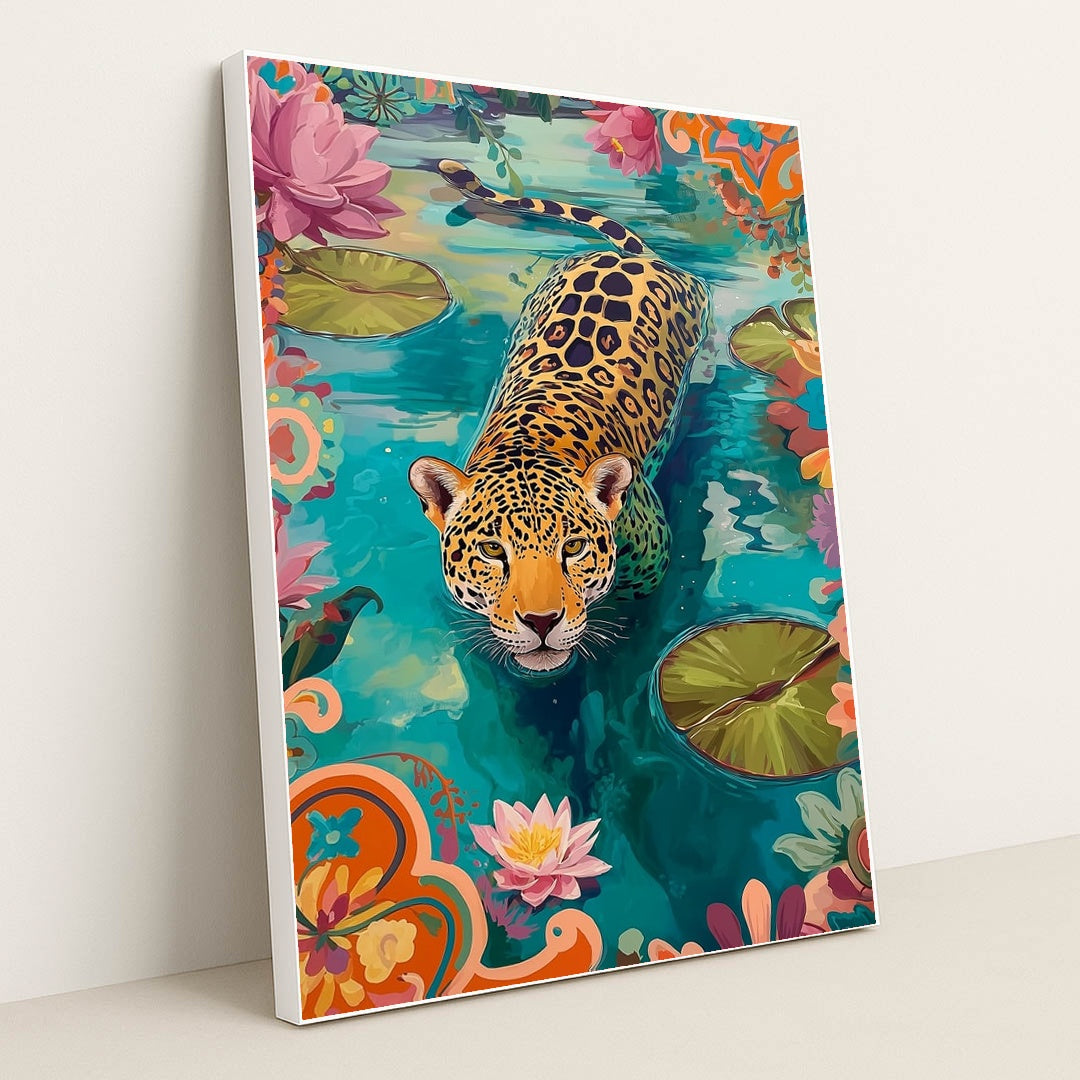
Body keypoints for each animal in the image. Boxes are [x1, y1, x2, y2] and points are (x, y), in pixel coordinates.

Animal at [409, 159, 711, 675]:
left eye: (573, 548)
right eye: (492, 551)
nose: (541, 622)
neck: (530, 442)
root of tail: (636, 258)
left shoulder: (651, 572)